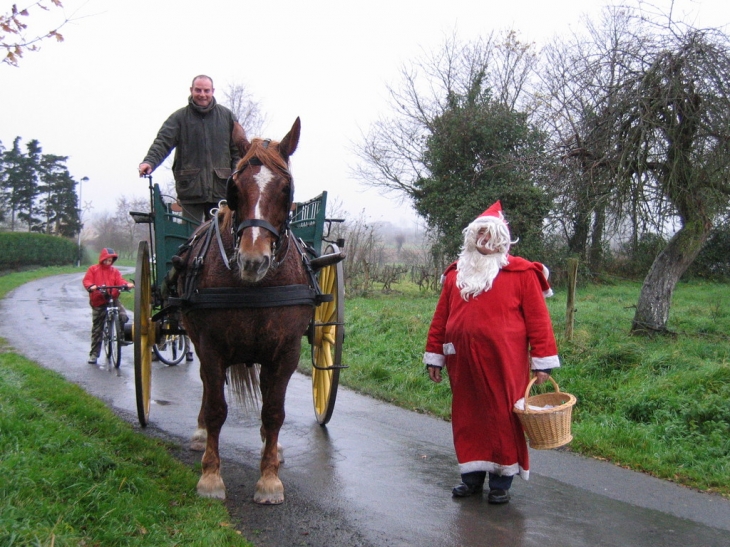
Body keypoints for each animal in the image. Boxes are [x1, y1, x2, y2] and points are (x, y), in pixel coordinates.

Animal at [178, 117, 314, 504]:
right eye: (234, 187)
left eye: (286, 190)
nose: (253, 260)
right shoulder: (211, 347)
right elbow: (216, 409)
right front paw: (211, 476)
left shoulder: (286, 351)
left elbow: (274, 412)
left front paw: (269, 479)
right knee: (207, 387)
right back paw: (200, 435)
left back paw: (273, 448)